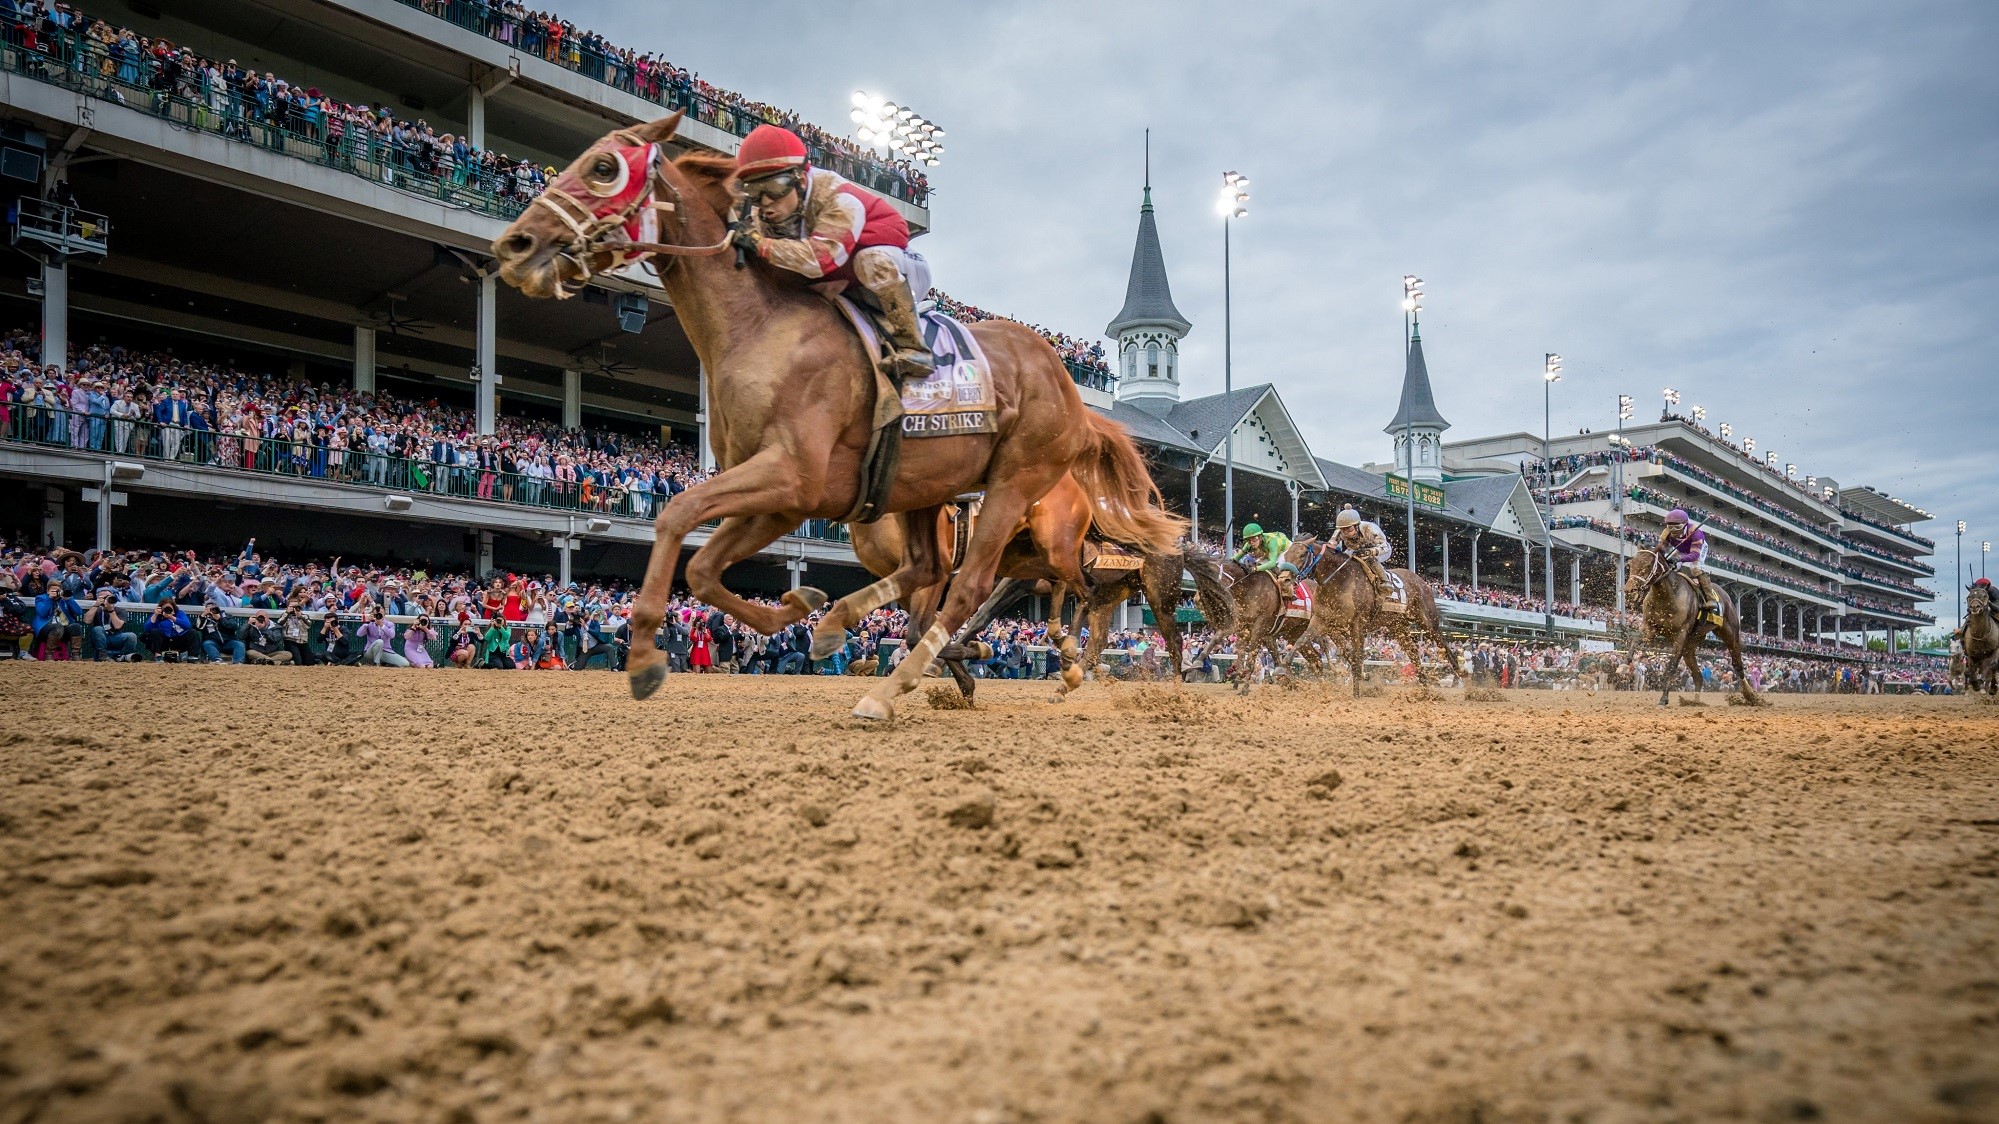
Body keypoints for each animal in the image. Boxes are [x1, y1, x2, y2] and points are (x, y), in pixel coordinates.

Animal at [491, 116, 1175, 716]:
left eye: (603, 168)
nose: (514, 245)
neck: (762, 329)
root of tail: (1070, 391)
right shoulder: (784, 497)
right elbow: (705, 569)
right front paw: (799, 609)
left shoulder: (792, 476)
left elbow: (676, 514)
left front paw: (642, 657)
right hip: (929, 487)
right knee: (950, 573)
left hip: (1016, 487)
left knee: (992, 587)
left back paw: (908, 687)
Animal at [1631, 548, 1759, 704]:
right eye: (1631, 563)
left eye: (1648, 565)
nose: (1629, 588)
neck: (1667, 596)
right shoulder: (1651, 628)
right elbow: (1635, 641)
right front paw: (1627, 661)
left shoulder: (1680, 635)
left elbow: (1672, 665)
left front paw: (1664, 698)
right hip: (1690, 646)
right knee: (1698, 675)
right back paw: (1695, 701)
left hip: (1730, 633)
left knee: (1737, 664)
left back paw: (1750, 694)